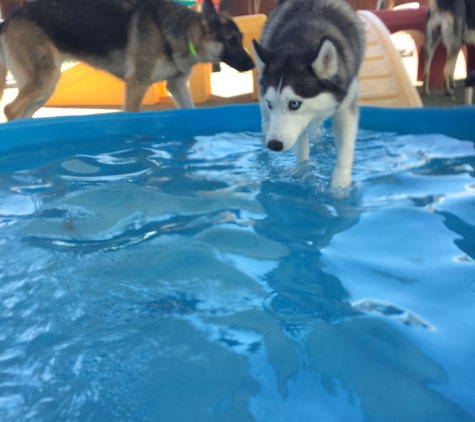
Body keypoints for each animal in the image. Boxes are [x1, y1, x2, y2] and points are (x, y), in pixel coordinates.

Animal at [0, 0, 255, 120]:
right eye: (231, 41)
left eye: (241, 39)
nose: (252, 65)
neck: (178, 31)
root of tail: (7, 20)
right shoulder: (136, 86)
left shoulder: (178, 86)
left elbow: (190, 110)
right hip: (45, 80)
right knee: (11, 109)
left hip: (46, 87)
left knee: (22, 113)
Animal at [253, 0, 364, 190]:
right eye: (270, 104)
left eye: (294, 104)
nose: (273, 144)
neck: (303, 39)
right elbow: (301, 148)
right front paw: (304, 173)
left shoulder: (345, 107)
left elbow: (345, 150)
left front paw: (340, 187)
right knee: (266, 122)